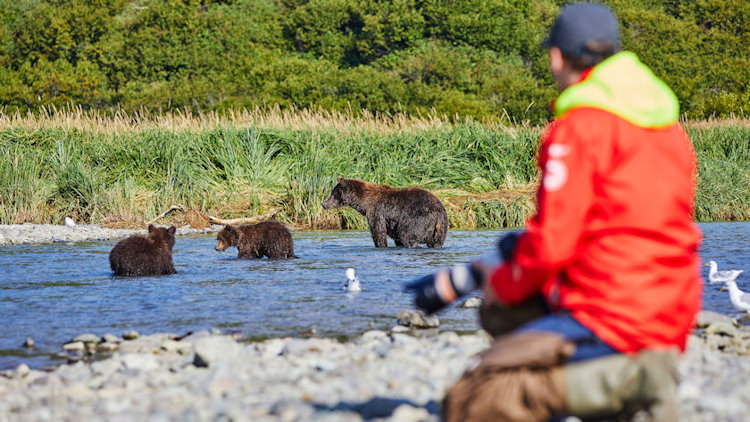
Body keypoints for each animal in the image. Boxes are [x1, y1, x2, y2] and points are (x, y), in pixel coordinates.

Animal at [322, 177, 450, 249]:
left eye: (333, 193)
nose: (323, 204)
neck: (364, 203)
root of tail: (438, 211)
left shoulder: (377, 212)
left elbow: (379, 231)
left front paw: (381, 245)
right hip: (441, 227)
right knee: (436, 242)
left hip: (420, 219)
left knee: (408, 237)